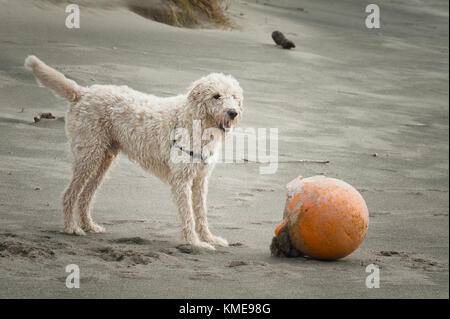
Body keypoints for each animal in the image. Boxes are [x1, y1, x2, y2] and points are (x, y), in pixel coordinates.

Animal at [24, 55, 243, 250]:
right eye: (216, 96)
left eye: (234, 97)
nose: (233, 112)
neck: (194, 120)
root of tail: (83, 92)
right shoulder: (181, 181)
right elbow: (188, 214)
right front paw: (195, 242)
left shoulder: (199, 180)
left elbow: (201, 213)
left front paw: (209, 238)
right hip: (88, 156)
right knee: (69, 194)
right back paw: (71, 227)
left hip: (103, 160)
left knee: (86, 196)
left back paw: (90, 226)